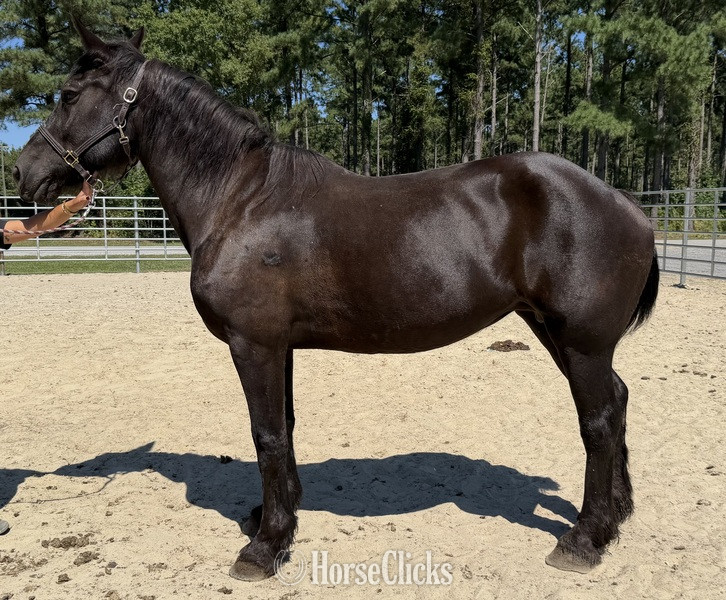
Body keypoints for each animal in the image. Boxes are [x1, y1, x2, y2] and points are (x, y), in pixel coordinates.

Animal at [13, 21, 659, 581]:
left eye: (69, 95)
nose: (22, 172)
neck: (239, 197)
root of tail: (627, 204)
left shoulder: (254, 344)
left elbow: (267, 435)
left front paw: (265, 547)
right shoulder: (279, 346)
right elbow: (285, 428)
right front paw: (278, 518)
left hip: (580, 340)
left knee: (598, 420)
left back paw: (585, 538)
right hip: (556, 332)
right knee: (618, 400)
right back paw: (616, 518)